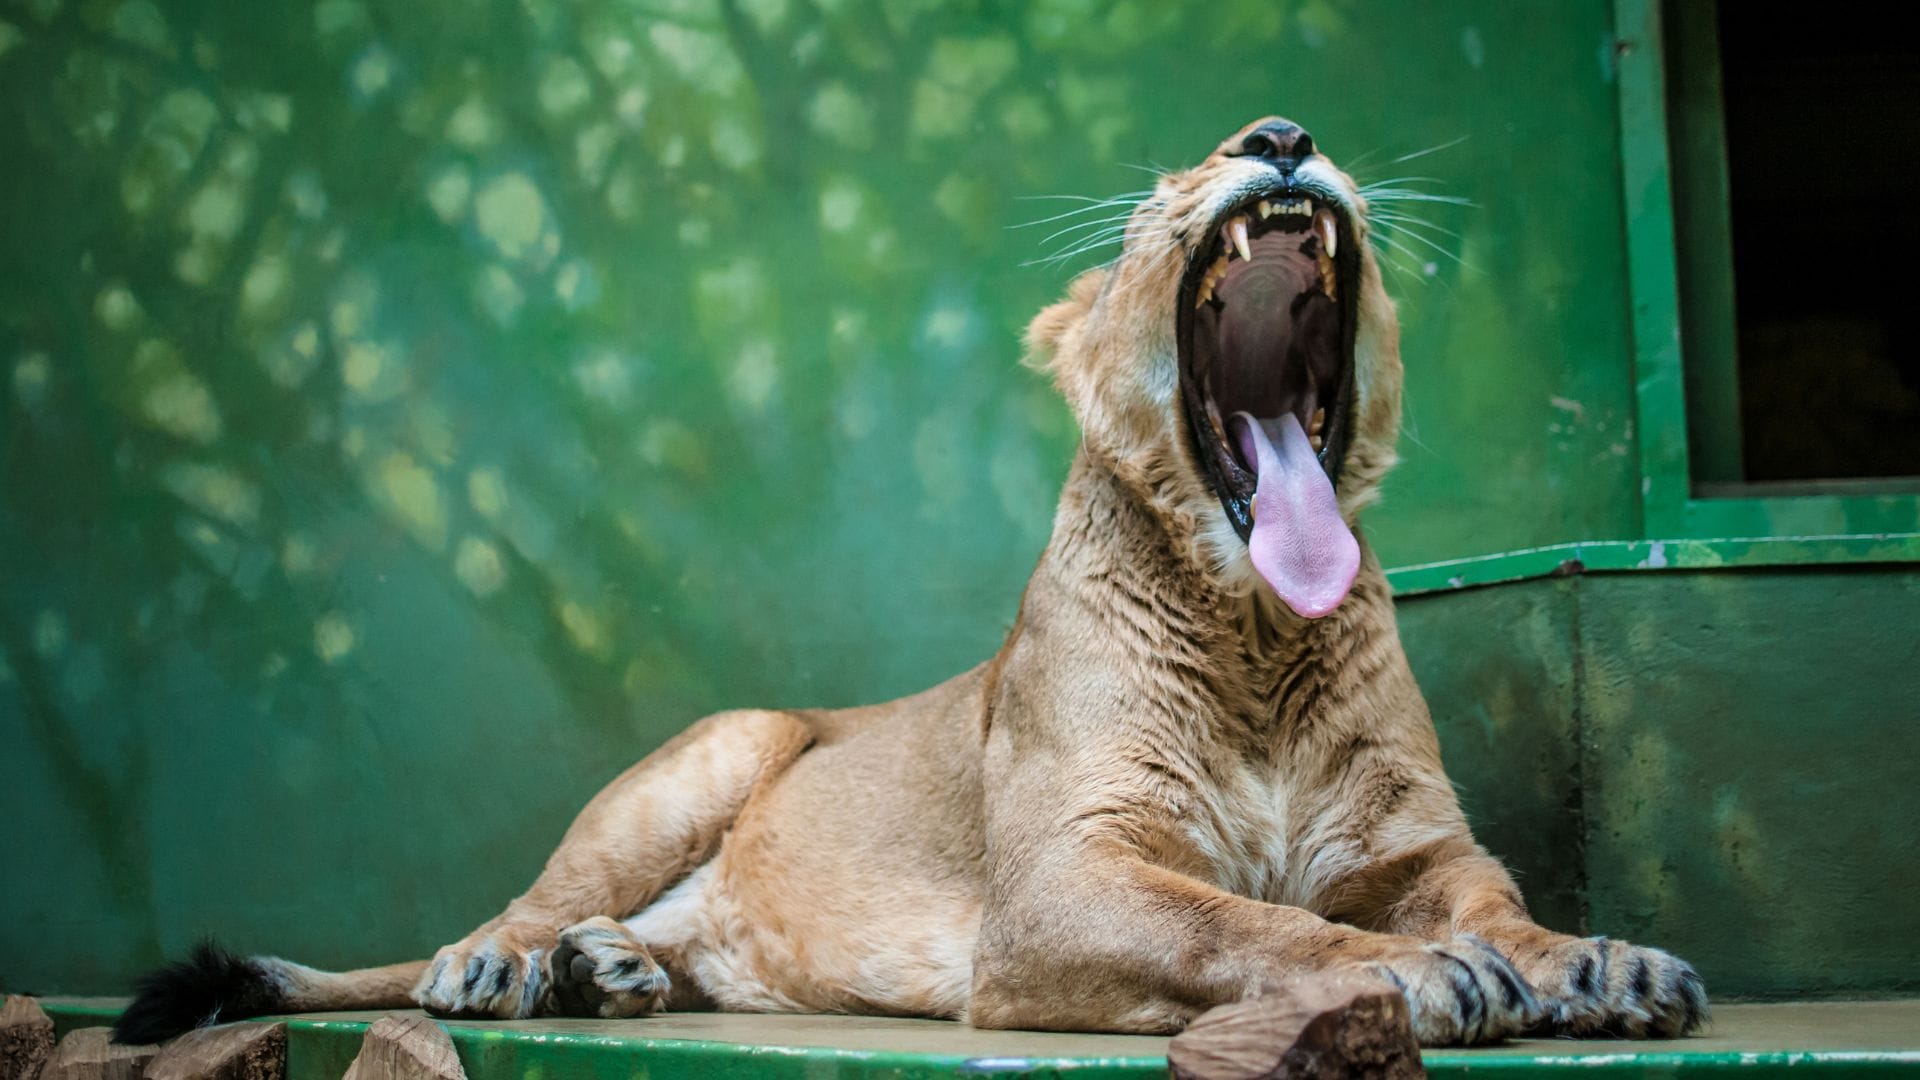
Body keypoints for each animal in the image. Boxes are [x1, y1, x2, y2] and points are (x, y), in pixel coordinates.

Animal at [116, 117, 1705, 1048]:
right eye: (1166, 180)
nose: (1281, 135)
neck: (1258, 630)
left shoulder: (1417, 849)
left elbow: (1497, 903)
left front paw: (1598, 965)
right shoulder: (1062, 887)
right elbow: (1253, 924)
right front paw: (1420, 980)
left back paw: (612, 973)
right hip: (713, 750)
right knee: (520, 899)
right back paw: (513, 969)